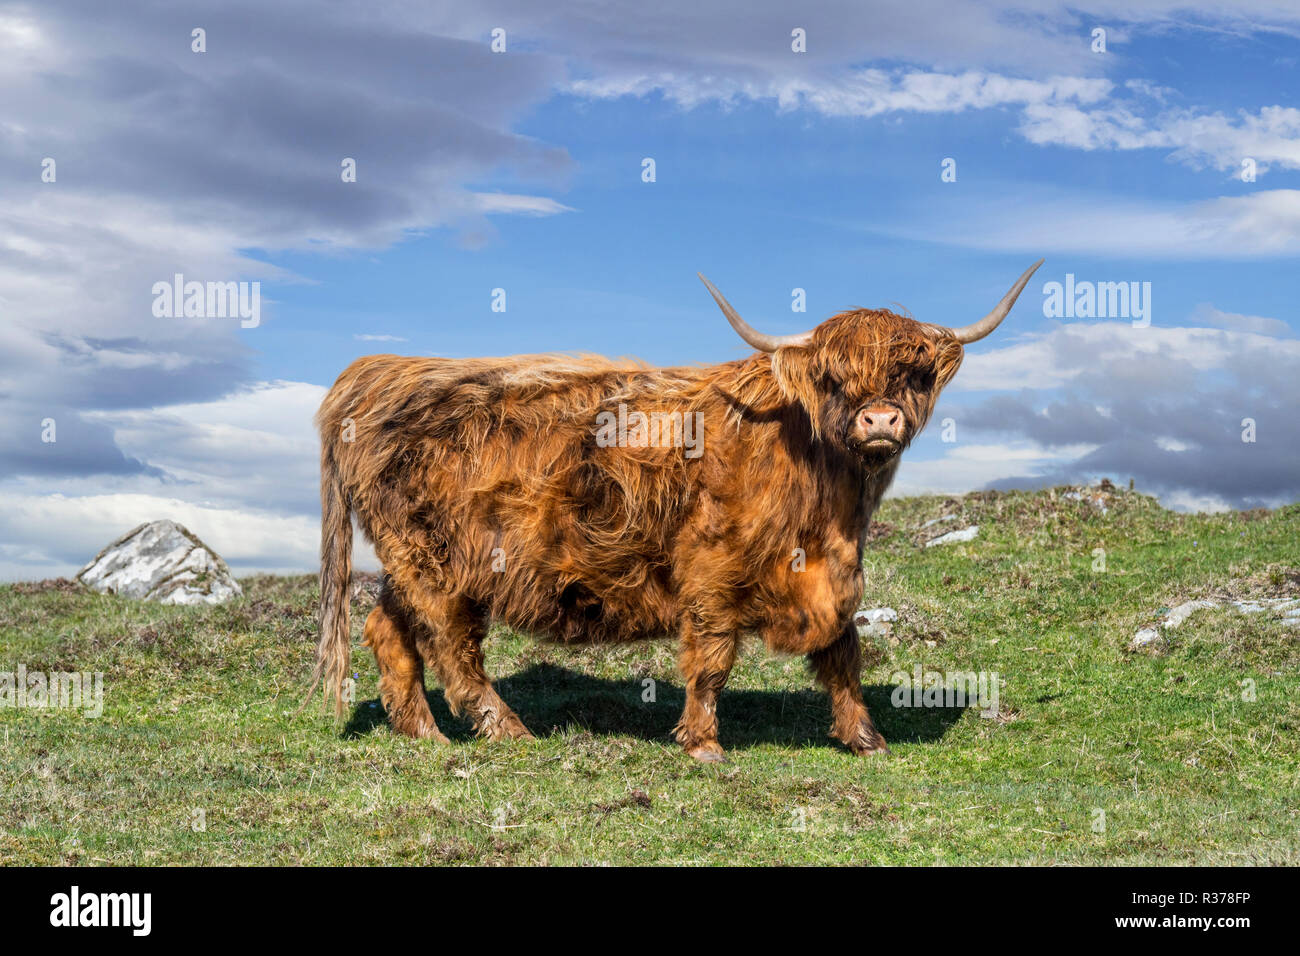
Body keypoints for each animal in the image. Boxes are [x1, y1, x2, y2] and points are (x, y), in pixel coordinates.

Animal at [310, 261, 1042, 761]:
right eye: (835, 380)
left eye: (912, 375)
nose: (881, 419)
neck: (826, 497)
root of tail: (377, 372)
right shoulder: (712, 572)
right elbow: (712, 658)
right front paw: (703, 744)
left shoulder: (837, 572)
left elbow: (842, 651)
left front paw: (865, 738)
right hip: (436, 564)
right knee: (450, 647)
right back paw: (508, 732)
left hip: (409, 561)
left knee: (389, 630)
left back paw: (424, 734)